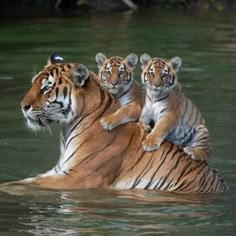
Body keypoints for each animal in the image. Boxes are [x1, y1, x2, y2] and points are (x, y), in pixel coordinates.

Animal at [0, 54, 229, 194]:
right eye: (34, 83)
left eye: (47, 87)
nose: (23, 106)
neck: (68, 127)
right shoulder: (59, 171)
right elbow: (27, 181)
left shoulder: (78, 178)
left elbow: (27, 184)